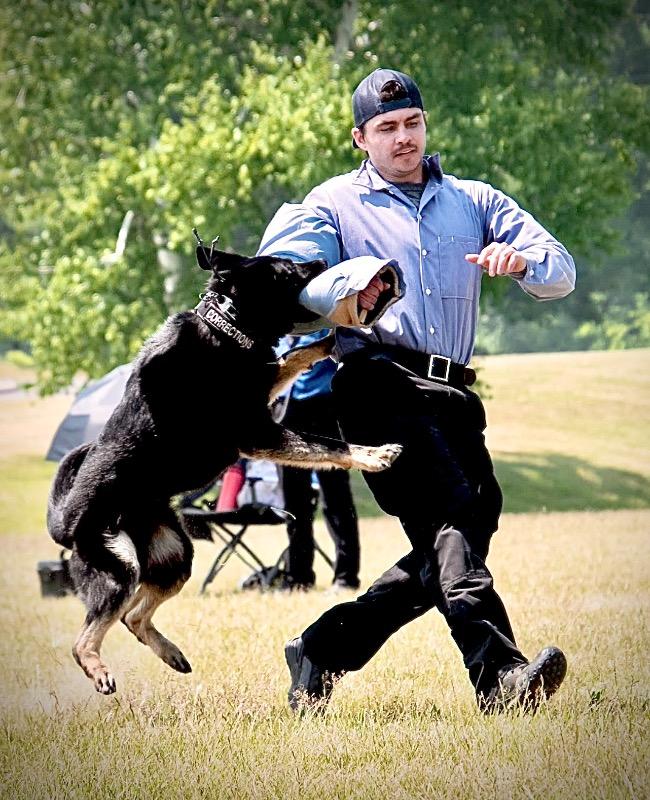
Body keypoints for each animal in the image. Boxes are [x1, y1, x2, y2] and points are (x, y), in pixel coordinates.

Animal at [46, 242, 400, 692]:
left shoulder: (263, 392)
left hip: (175, 556)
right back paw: (99, 671)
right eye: (287, 270)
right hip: (120, 566)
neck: (227, 328)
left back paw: (173, 655)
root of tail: (62, 525)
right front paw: (374, 455)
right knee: (86, 638)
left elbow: (294, 356)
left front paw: (329, 341)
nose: (322, 261)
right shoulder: (258, 433)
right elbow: (328, 445)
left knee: (134, 617)